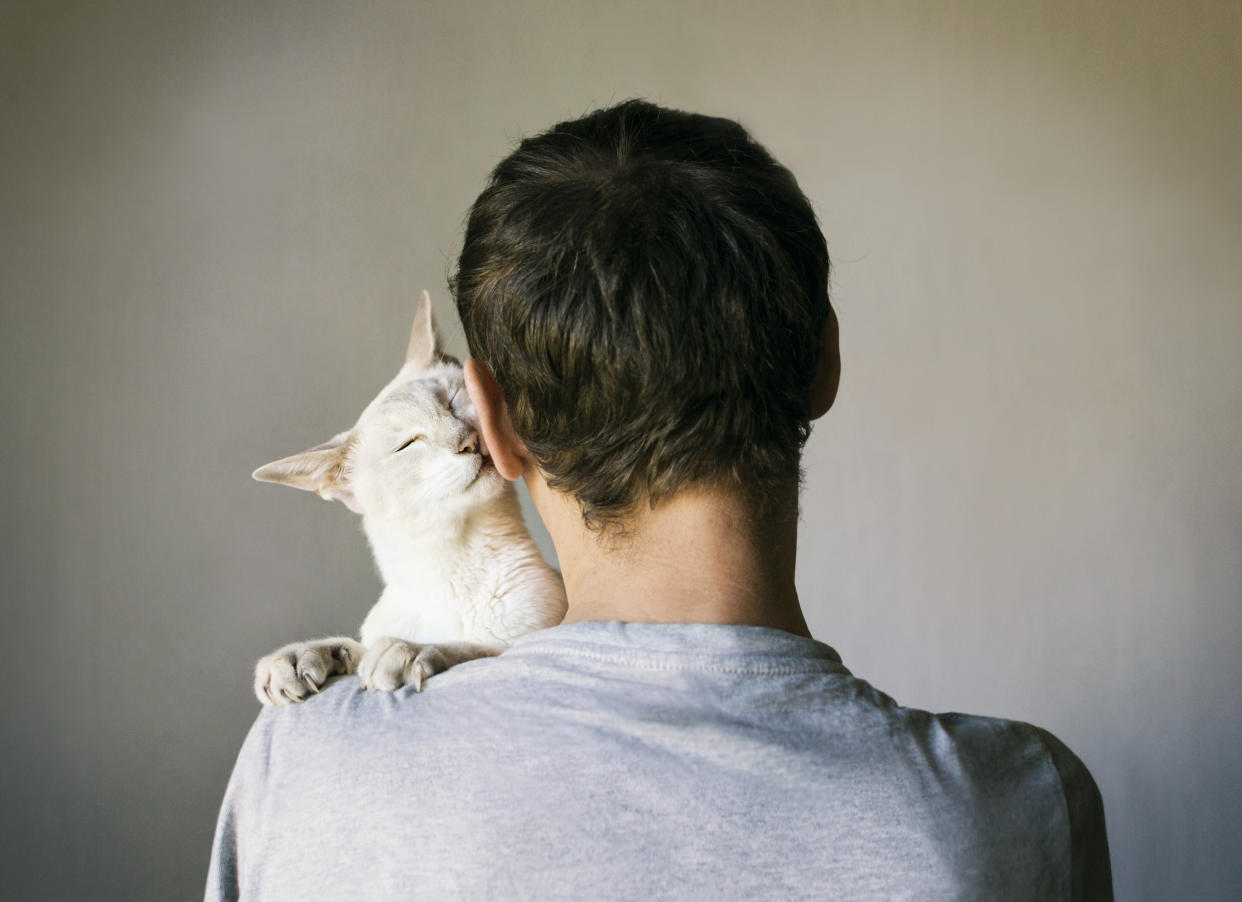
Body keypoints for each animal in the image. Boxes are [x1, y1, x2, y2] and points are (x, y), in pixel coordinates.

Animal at [248, 289, 568, 705]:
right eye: (408, 445)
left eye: (453, 401)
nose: (469, 441)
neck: (450, 566)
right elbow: (352, 647)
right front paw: (294, 660)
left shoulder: (535, 634)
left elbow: (478, 648)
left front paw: (407, 651)